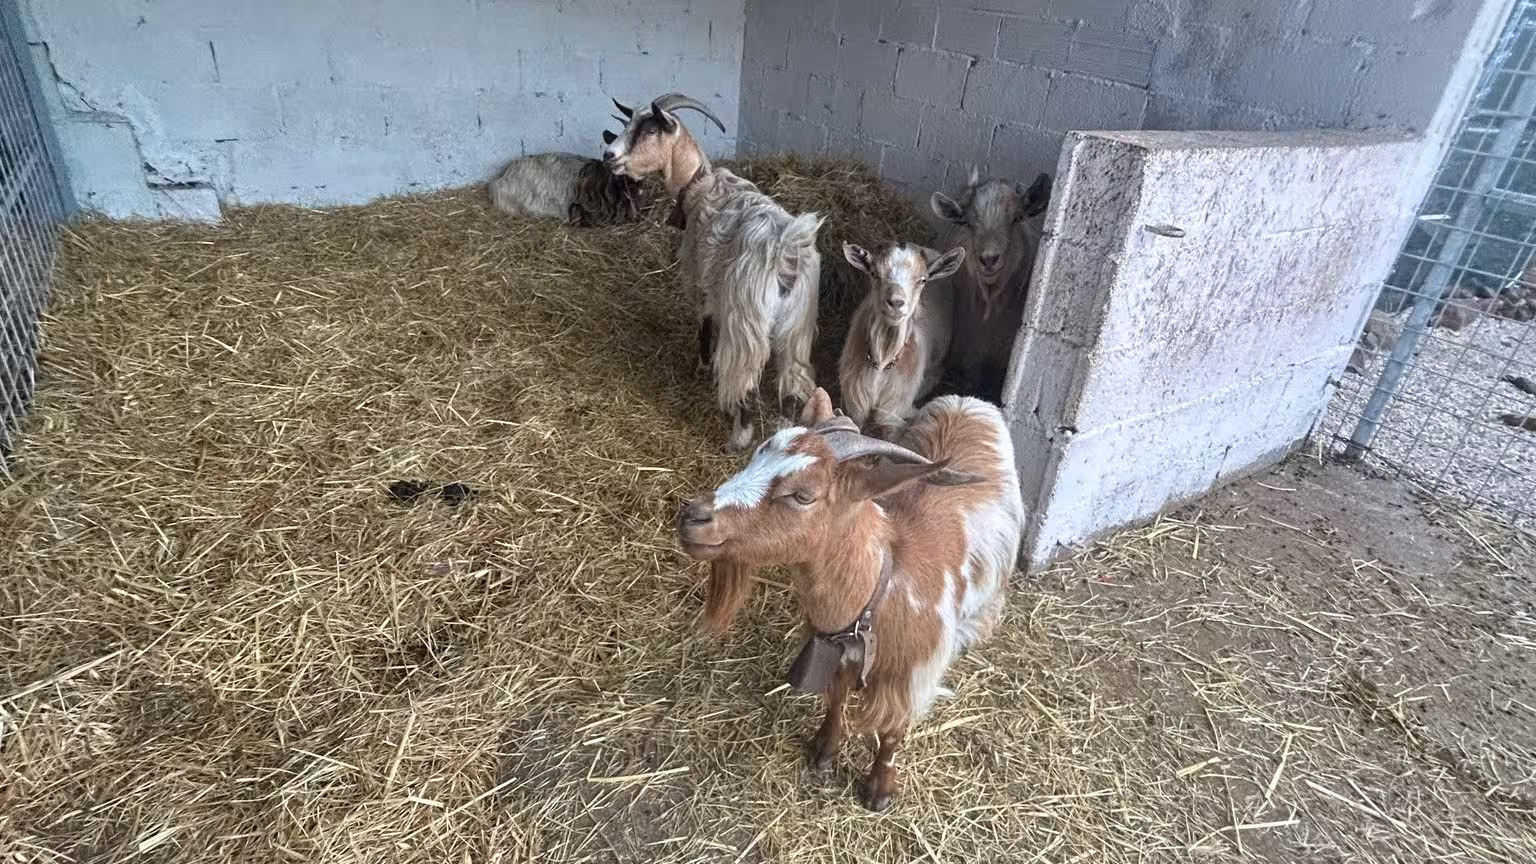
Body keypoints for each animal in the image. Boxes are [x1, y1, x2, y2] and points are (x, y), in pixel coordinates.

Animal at [604, 93, 824, 451]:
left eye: (649, 130)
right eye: (628, 122)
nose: (608, 155)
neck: (698, 183)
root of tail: (785, 252)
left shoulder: (701, 282)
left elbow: (705, 327)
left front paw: (701, 368)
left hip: (746, 322)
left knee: (745, 379)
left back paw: (740, 437)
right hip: (797, 329)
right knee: (793, 382)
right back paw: (785, 433)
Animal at [677, 387, 1024, 811]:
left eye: (803, 495)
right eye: (756, 457)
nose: (693, 516)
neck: (883, 585)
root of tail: (969, 400)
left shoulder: (910, 676)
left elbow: (892, 732)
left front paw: (880, 789)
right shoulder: (836, 649)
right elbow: (836, 698)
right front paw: (823, 750)